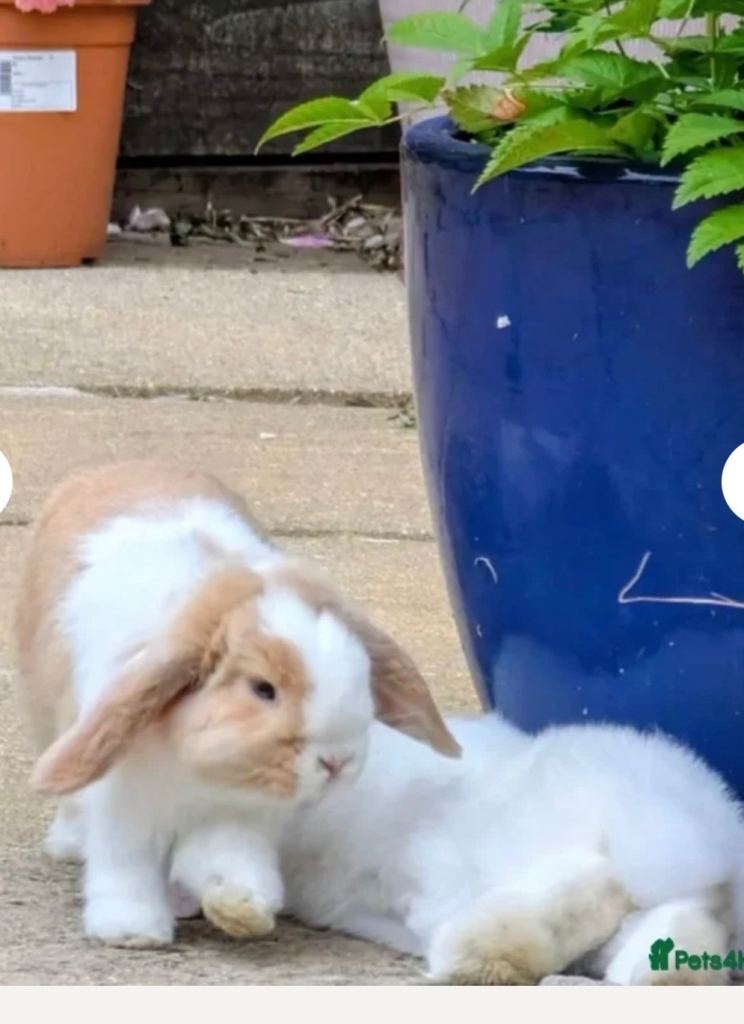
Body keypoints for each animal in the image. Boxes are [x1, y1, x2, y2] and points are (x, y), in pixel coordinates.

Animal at [16, 459, 459, 948]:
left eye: (362, 669)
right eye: (263, 689)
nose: (336, 763)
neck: (198, 769)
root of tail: (119, 467)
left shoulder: (239, 816)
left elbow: (230, 859)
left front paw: (244, 908)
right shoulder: (123, 806)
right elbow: (126, 866)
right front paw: (133, 930)